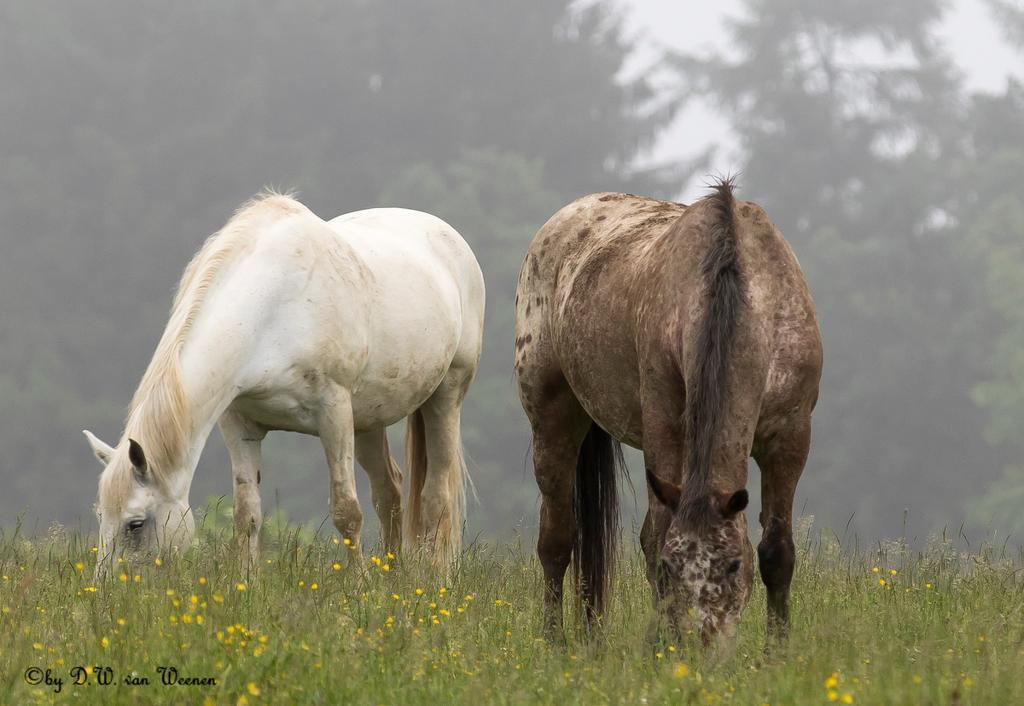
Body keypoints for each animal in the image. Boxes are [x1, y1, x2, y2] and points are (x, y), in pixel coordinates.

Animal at [82, 192, 483, 573]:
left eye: (135, 524)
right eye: (101, 517)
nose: (109, 589)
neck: (271, 308)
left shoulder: (334, 413)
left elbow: (347, 511)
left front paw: (359, 587)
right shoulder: (239, 424)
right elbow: (247, 515)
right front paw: (247, 583)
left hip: (446, 394)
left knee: (435, 497)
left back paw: (433, 579)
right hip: (369, 420)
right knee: (390, 492)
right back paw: (392, 578)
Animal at [512, 177, 823, 651]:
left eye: (733, 565)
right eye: (671, 568)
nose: (701, 646)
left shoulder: (790, 438)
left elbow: (777, 551)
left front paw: (776, 652)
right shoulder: (666, 430)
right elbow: (655, 539)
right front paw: (659, 643)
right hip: (552, 416)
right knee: (558, 538)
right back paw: (555, 642)